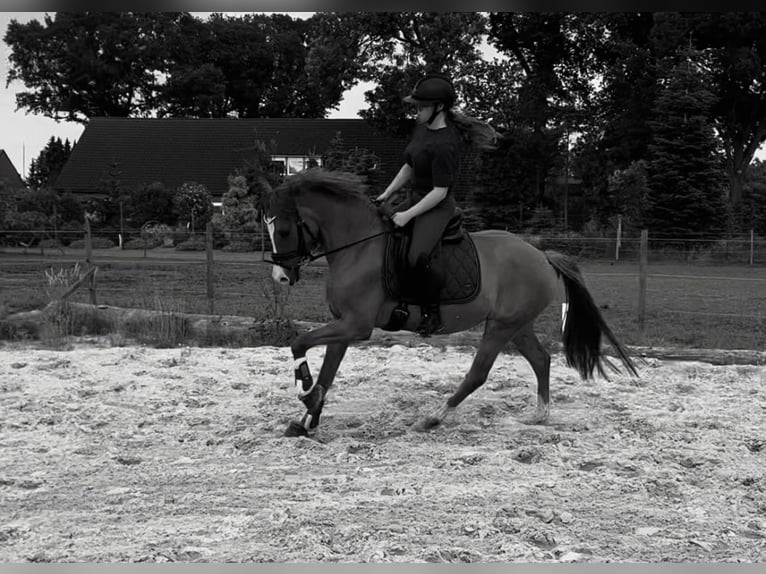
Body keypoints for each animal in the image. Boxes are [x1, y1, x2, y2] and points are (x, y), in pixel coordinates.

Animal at [268, 169, 640, 438]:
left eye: (283, 230)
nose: (281, 277)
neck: (359, 247)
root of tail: (542, 256)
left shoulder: (356, 326)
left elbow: (299, 342)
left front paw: (304, 388)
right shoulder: (343, 325)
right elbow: (327, 371)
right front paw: (308, 416)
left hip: (501, 326)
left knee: (478, 373)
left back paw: (434, 417)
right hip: (517, 325)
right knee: (541, 359)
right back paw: (540, 415)